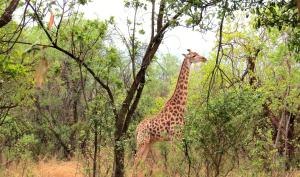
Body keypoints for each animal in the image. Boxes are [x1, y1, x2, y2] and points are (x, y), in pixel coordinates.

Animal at [132, 48, 207, 176]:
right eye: (193, 55)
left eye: (197, 53)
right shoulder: (174, 137)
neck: (180, 105)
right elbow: (174, 160)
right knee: (135, 162)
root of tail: (137, 129)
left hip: (148, 143)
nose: (204, 58)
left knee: (140, 163)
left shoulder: (178, 137)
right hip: (142, 142)